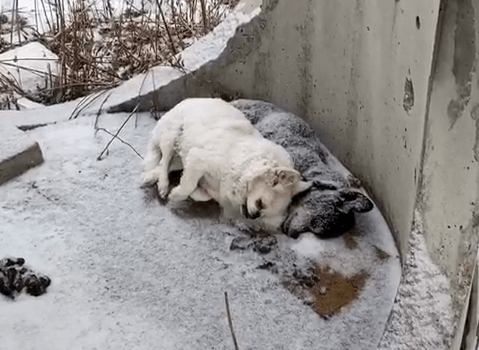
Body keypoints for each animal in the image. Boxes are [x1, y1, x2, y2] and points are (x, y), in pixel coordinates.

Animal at [141, 98, 312, 230]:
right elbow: (187, 186)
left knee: (166, 165)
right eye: (260, 204)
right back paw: (163, 186)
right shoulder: (197, 159)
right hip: (171, 136)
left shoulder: (195, 165)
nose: (253, 216)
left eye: (262, 215)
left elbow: (201, 194)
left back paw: (149, 177)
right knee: (164, 161)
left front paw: (196, 191)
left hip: (180, 155)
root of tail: (187, 100)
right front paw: (175, 194)